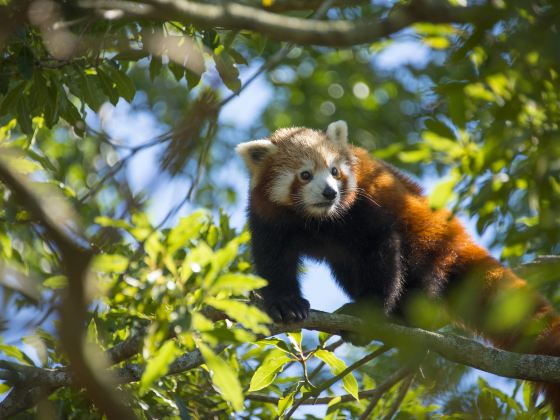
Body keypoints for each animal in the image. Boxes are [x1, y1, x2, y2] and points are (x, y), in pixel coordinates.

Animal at [237, 121, 560, 414]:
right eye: (305, 175)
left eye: (334, 171)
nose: (330, 193)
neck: (316, 220)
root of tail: (456, 236)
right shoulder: (269, 218)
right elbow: (274, 261)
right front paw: (286, 303)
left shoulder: (361, 208)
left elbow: (380, 249)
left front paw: (369, 311)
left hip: (427, 241)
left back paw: (407, 316)